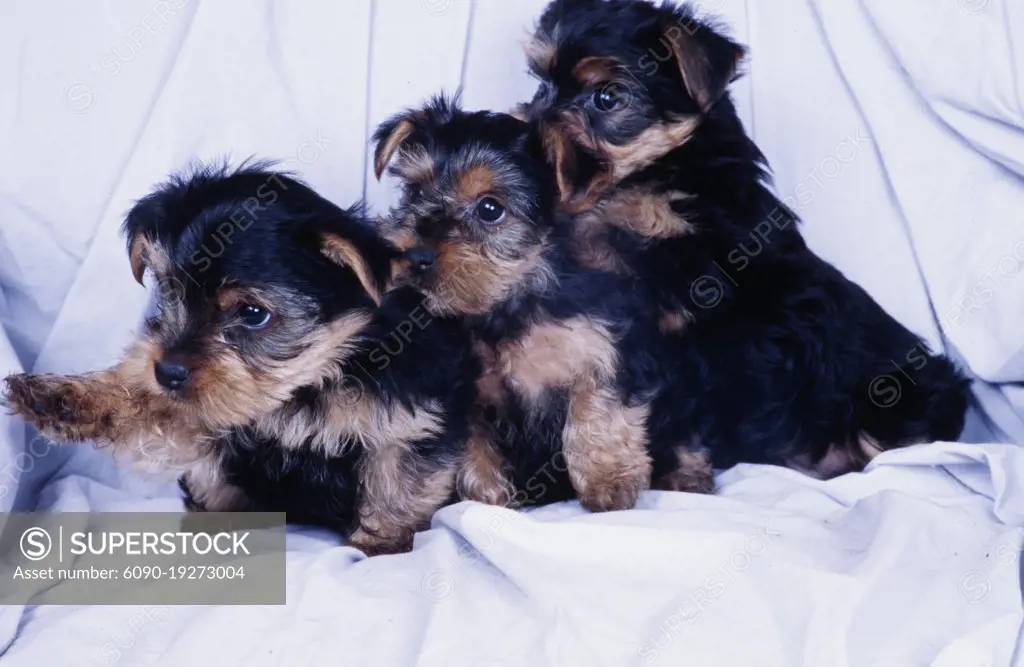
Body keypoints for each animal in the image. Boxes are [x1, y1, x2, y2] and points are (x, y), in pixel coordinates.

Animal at [2, 163, 475, 557]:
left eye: (252, 314)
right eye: (170, 292)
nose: (167, 371)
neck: (311, 380)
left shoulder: (410, 424)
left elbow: (397, 484)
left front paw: (380, 547)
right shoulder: (212, 416)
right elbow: (153, 408)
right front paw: (66, 398)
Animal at [372, 96, 667, 508]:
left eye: (490, 209)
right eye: (415, 192)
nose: (415, 254)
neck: (505, 299)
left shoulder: (607, 347)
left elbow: (598, 410)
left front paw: (608, 481)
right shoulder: (466, 392)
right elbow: (473, 447)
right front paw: (489, 499)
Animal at [524, 0, 970, 479]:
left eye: (606, 99)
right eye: (542, 86)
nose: (531, 131)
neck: (662, 179)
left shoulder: (696, 338)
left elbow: (683, 417)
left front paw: (682, 475)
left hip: (895, 398)